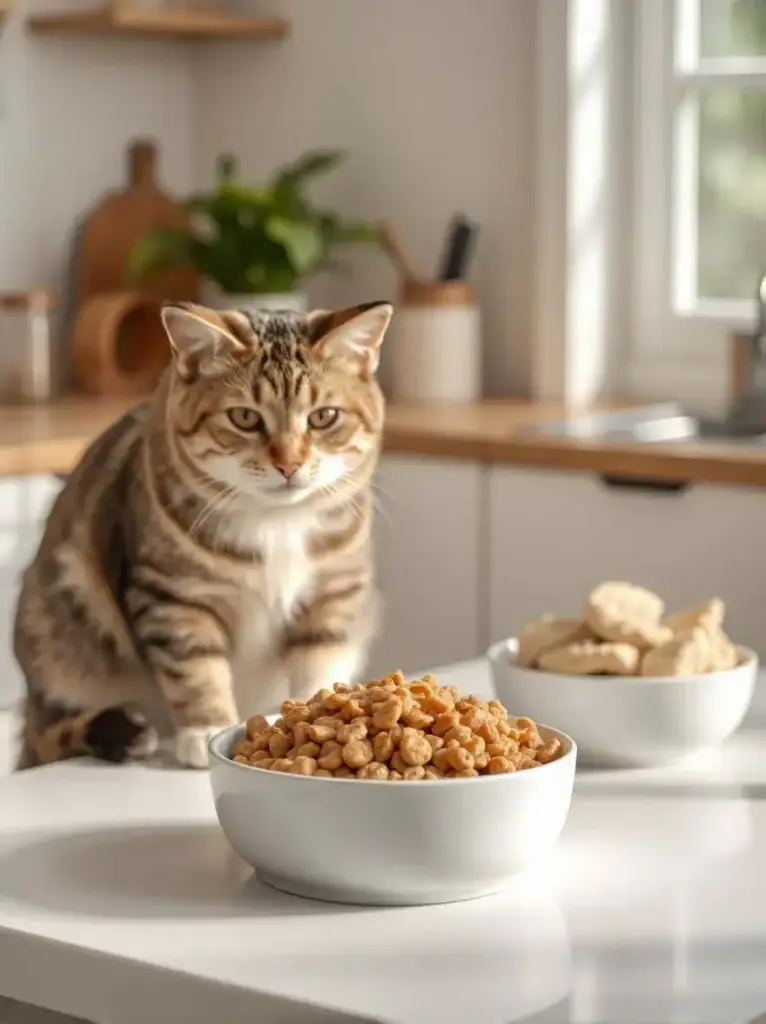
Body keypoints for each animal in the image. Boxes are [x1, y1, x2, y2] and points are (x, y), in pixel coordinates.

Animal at [14, 296, 391, 770]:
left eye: (324, 417)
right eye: (245, 417)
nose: (288, 465)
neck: (276, 523)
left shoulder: (335, 591)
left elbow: (320, 660)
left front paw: (323, 710)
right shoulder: (172, 594)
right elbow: (193, 666)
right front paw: (207, 729)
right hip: (58, 634)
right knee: (53, 730)